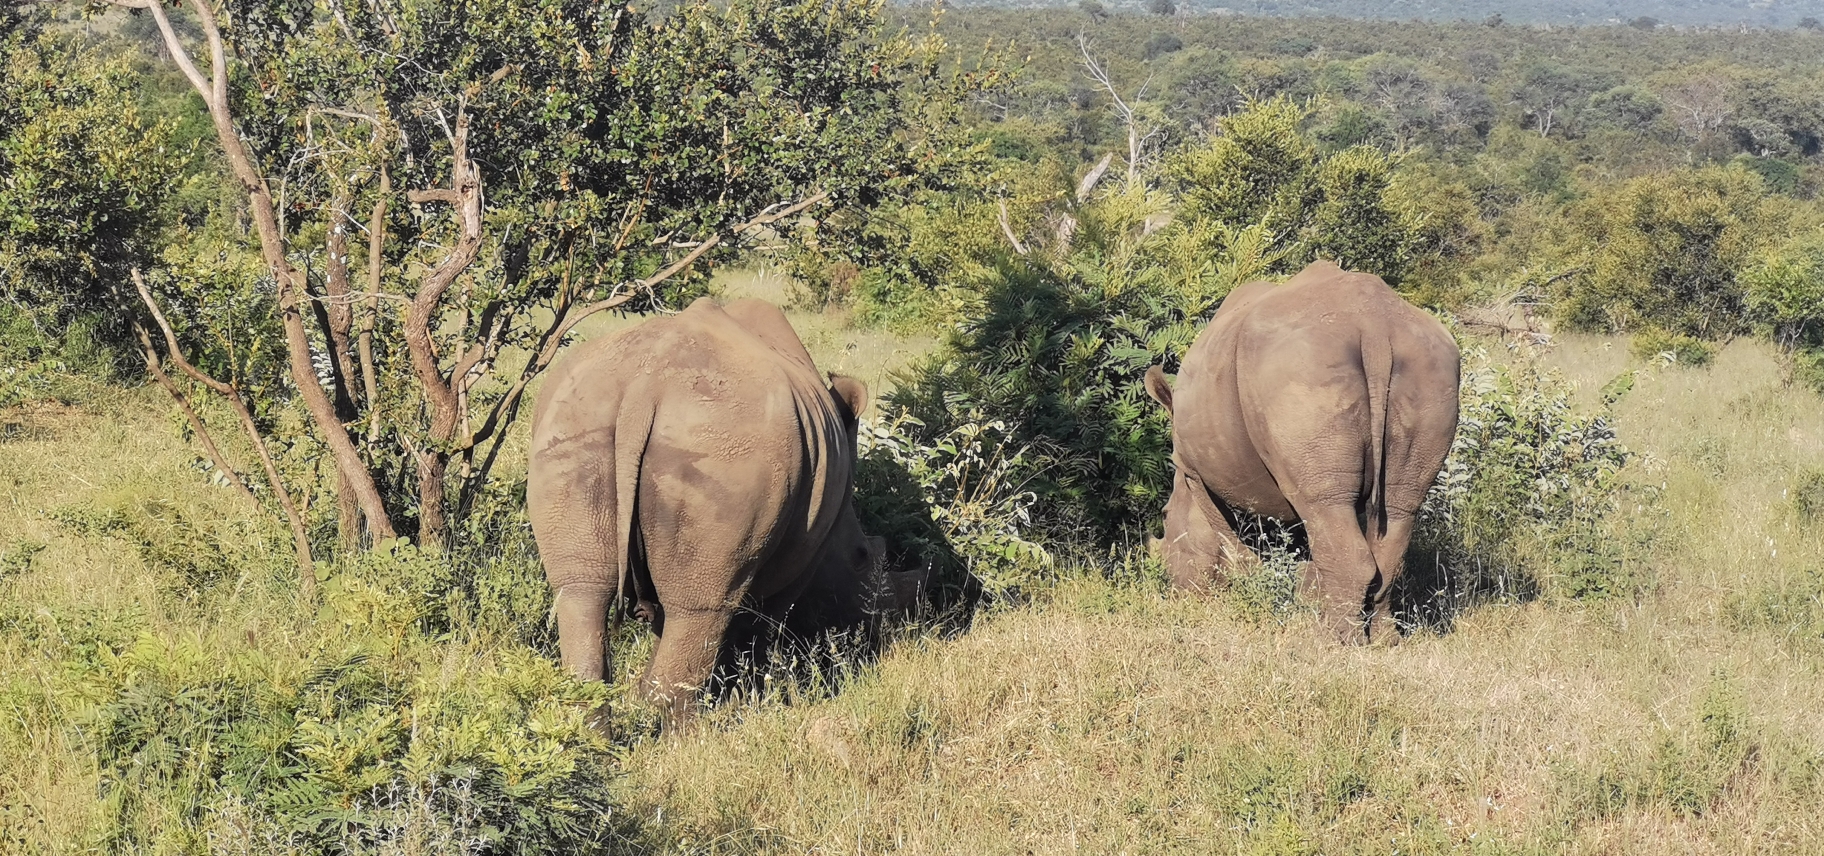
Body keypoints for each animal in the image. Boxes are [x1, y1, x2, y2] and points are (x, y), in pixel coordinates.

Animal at [528, 295, 926, 719]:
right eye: (862, 556)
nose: (882, 631)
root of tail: (644, 385)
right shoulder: (801, 561)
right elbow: (756, 632)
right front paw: (748, 698)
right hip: (726, 447)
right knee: (701, 611)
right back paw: (694, 731)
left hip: (578, 422)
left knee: (581, 592)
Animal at [1145, 260, 1459, 642]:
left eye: (1163, 516)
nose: (1172, 591)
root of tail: (1374, 327)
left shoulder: (1193, 470)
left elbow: (1227, 533)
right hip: (1425, 369)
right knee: (1398, 508)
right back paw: (1385, 642)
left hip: (1300, 371)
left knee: (1325, 505)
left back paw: (1333, 642)